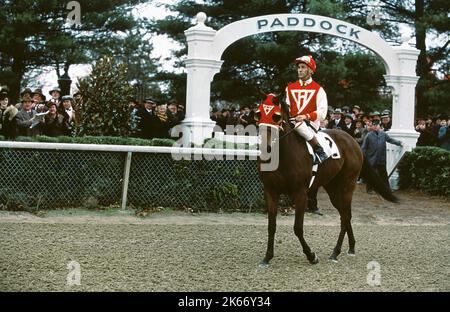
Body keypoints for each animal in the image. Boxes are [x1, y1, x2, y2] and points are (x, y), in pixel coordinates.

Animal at [256, 93, 398, 266]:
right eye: (258, 114)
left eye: (276, 116)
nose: (265, 144)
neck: (282, 156)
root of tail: (352, 141)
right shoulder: (270, 191)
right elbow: (271, 225)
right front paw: (267, 257)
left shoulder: (300, 193)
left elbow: (297, 228)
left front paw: (311, 256)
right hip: (333, 189)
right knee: (345, 215)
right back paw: (351, 247)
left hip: (347, 185)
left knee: (345, 216)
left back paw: (335, 252)